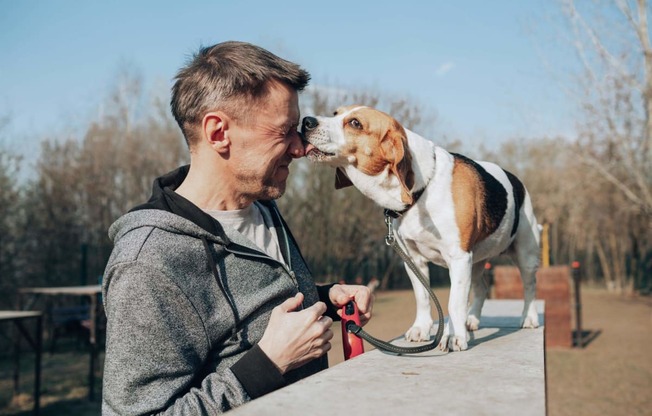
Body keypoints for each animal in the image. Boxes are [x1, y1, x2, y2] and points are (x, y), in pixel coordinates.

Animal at [302, 105, 540, 352]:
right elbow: (423, 297)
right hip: (476, 261)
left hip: (525, 254)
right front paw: (422, 329)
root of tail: (517, 181)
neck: (423, 189)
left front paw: (454, 336)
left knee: (530, 287)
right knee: (481, 288)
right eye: (335, 113)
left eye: (355, 123)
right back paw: (472, 319)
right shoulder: (413, 259)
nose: (306, 122)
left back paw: (528, 317)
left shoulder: (458, 258)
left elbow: (454, 302)